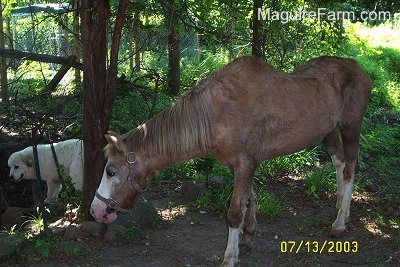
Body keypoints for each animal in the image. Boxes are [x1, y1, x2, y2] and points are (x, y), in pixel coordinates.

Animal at [90, 55, 372, 266]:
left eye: (111, 171)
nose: (95, 211)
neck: (215, 112)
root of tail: (357, 68)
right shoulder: (243, 166)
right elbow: (249, 199)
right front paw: (248, 237)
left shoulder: (245, 164)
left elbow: (235, 212)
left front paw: (230, 256)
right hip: (329, 133)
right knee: (339, 163)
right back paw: (339, 204)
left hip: (350, 127)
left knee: (350, 169)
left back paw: (340, 222)